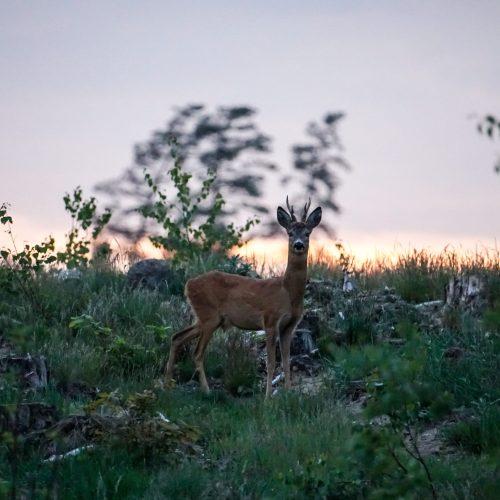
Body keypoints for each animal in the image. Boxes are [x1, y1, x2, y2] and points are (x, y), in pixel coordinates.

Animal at [164, 197, 320, 396]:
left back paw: (167, 384)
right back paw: (206, 391)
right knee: (197, 353)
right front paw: (268, 397)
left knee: (176, 337)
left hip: (203, 318)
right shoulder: (270, 320)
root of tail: (188, 285)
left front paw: (289, 394)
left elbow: (286, 362)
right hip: (209, 315)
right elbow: (271, 363)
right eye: (290, 233)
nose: (298, 244)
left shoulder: (289, 326)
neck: (287, 292)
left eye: (307, 233)